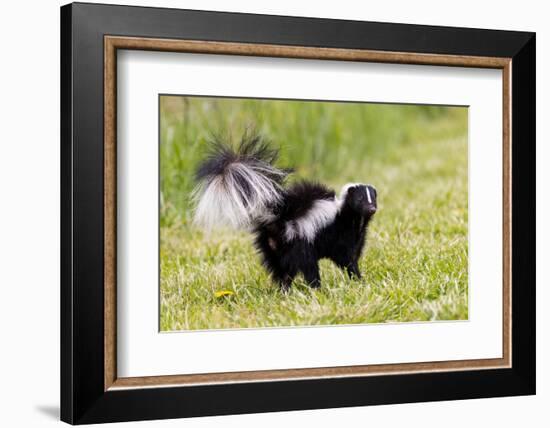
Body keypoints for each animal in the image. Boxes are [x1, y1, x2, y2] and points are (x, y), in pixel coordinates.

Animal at [192, 135, 378, 292]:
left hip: (274, 248)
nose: (371, 209)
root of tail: (279, 218)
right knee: (307, 267)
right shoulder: (339, 235)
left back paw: (284, 290)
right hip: (298, 242)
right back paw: (316, 288)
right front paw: (358, 279)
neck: (352, 218)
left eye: (373, 199)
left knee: (282, 270)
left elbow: (352, 256)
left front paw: (358, 280)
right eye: (360, 199)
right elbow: (346, 259)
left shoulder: (356, 237)